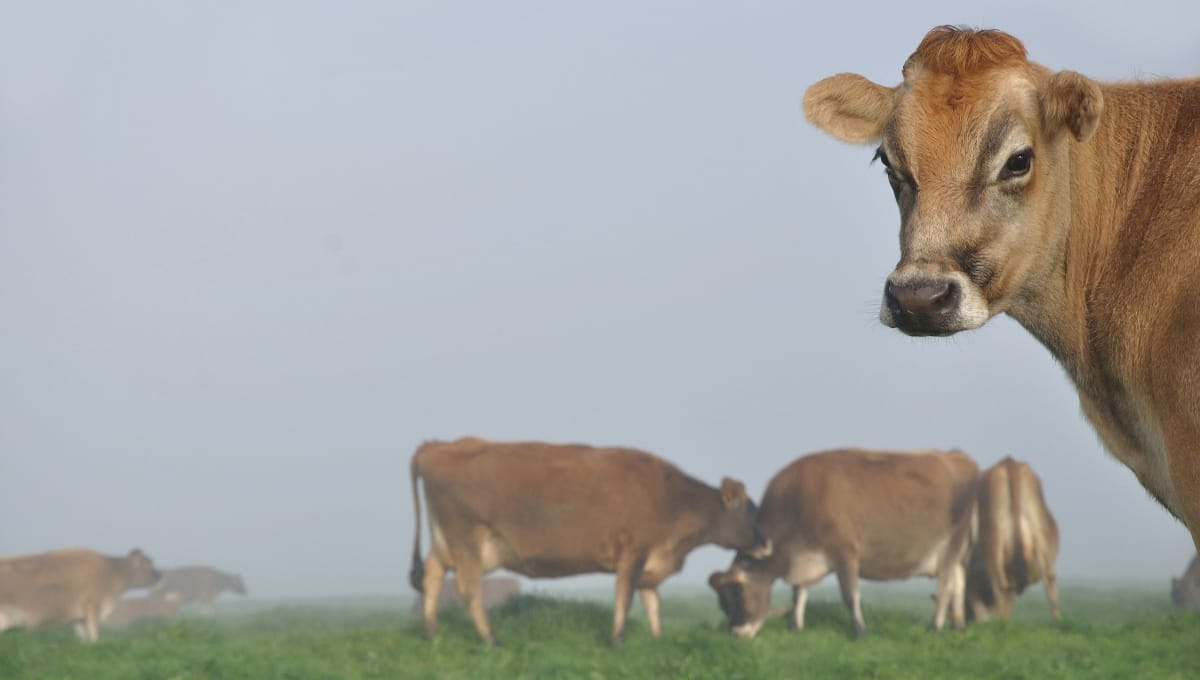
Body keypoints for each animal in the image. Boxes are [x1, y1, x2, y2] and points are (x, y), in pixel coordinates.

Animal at [0, 548, 161, 642]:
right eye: (148, 563)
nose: (160, 576)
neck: (111, 572)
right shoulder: (93, 608)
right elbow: (94, 636)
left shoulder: (78, 618)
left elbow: (84, 640)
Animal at [408, 437, 770, 646]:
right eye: (751, 511)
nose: (768, 544)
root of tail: (439, 445)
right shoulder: (633, 551)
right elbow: (625, 597)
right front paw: (616, 641)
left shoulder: (651, 558)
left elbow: (652, 601)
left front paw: (657, 638)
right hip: (467, 539)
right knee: (468, 588)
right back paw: (491, 640)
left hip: (448, 542)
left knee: (432, 574)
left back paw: (431, 633)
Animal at [709, 448, 978, 638]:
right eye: (722, 602)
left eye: (738, 592)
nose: (736, 633)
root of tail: (956, 457)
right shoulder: (803, 557)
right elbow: (798, 594)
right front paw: (795, 627)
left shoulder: (845, 551)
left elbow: (850, 595)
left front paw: (860, 631)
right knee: (959, 582)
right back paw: (958, 627)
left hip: (952, 543)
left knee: (945, 586)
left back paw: (935, 627)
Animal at [965, 457, 1061, 621]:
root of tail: (1010, 463)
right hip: (1039, 531)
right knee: (1050, 581)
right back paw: (1057, 622)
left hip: (994, 542)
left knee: (1001, 589)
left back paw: (1000, 624)